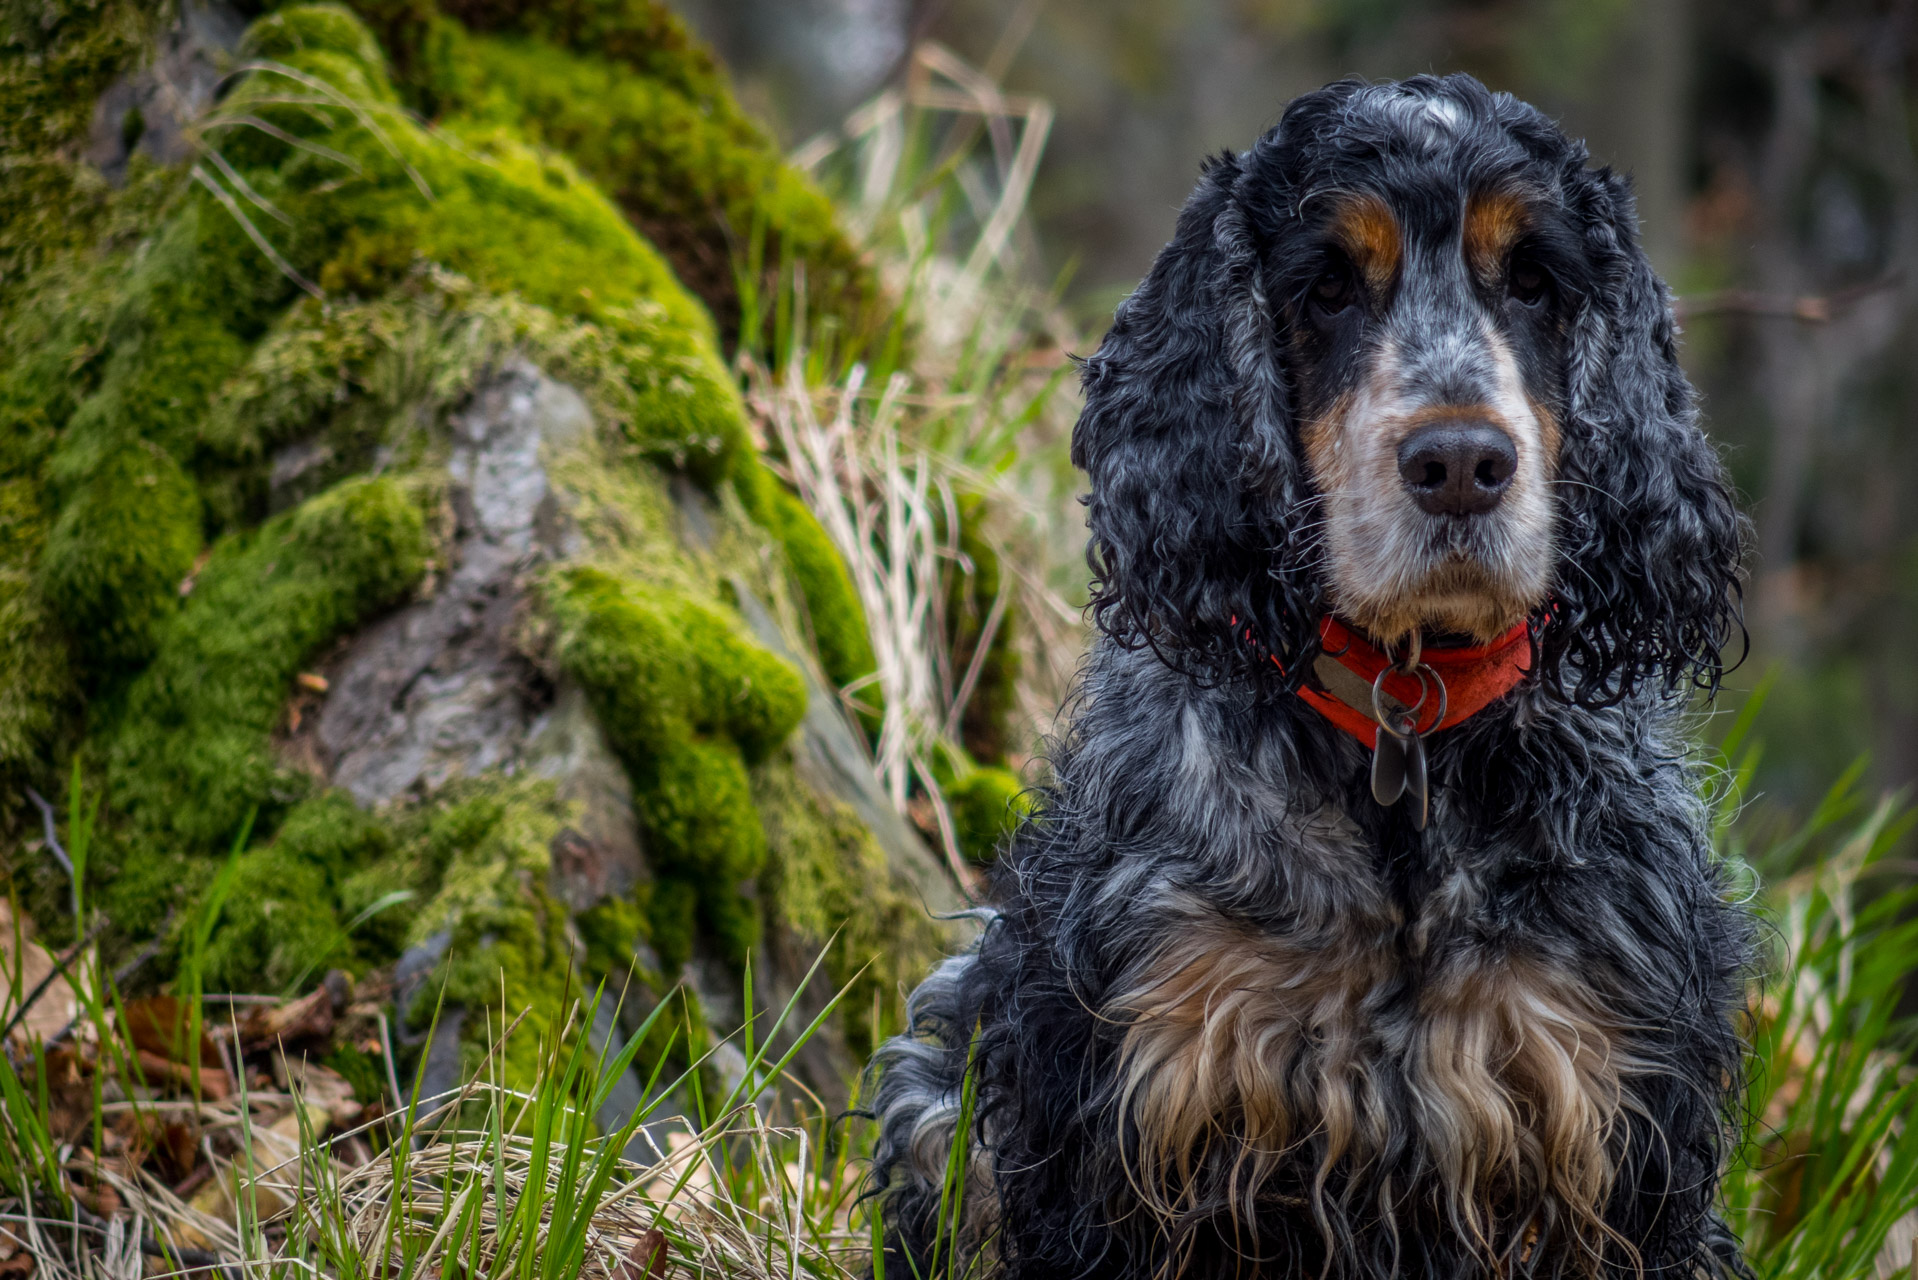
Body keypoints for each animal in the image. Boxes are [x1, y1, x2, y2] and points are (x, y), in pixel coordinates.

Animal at [870, 72, 1756, 1280]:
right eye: (1328, 288)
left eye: (1535, 280)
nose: (1460, 463)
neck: (1407, 724)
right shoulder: (1124, 1108)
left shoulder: (1613, 1123)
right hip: (938, 1097)